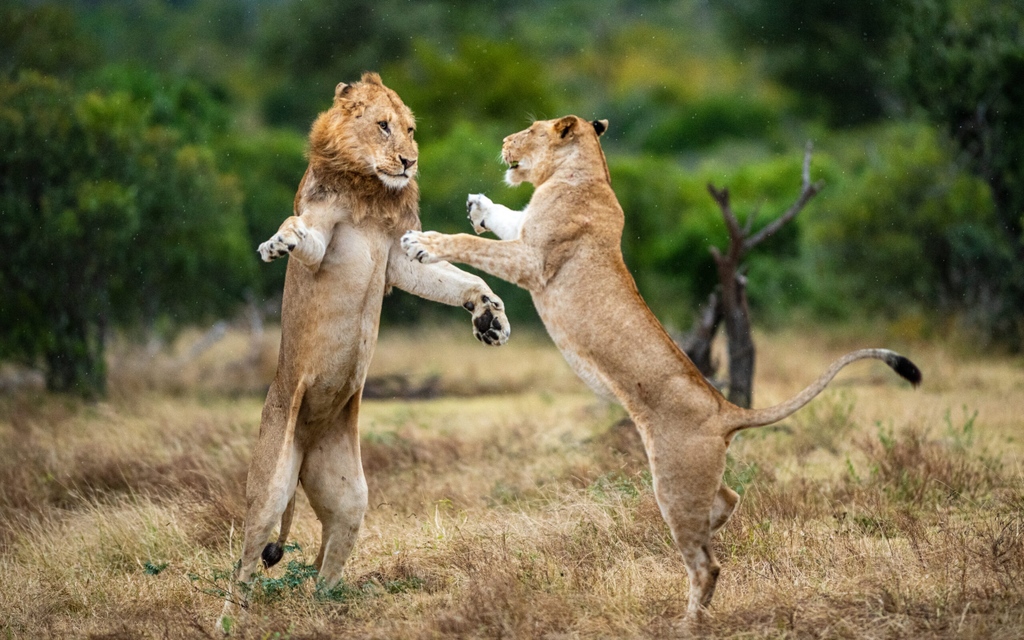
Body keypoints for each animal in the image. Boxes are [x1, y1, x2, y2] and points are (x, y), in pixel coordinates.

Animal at [218, 73, 510, 628]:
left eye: (412, 130)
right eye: (382, 126)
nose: (409, 162)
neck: (372, 190)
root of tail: (306, 441)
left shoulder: (397, 256)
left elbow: (461, 279)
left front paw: (490, 318)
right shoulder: (323, 242)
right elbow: (299, 234)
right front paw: (275, 244)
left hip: (349, 492)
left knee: (325, 565)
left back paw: (330, 610)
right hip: (270, 485)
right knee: (244, 562)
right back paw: (229, 620)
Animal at [400, 115, 921, 624]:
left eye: (529, 129)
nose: (506, 141)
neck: (581, 174)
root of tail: (724, 409)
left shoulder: (533, 259)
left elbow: (470, 244)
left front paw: (421, 242)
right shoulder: (526, 234)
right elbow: (507, 219)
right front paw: (479, 205)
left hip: (672, 480)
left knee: (707, 564)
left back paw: (688, 623)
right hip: (694, 481)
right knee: (728, 502)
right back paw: (712, 536)